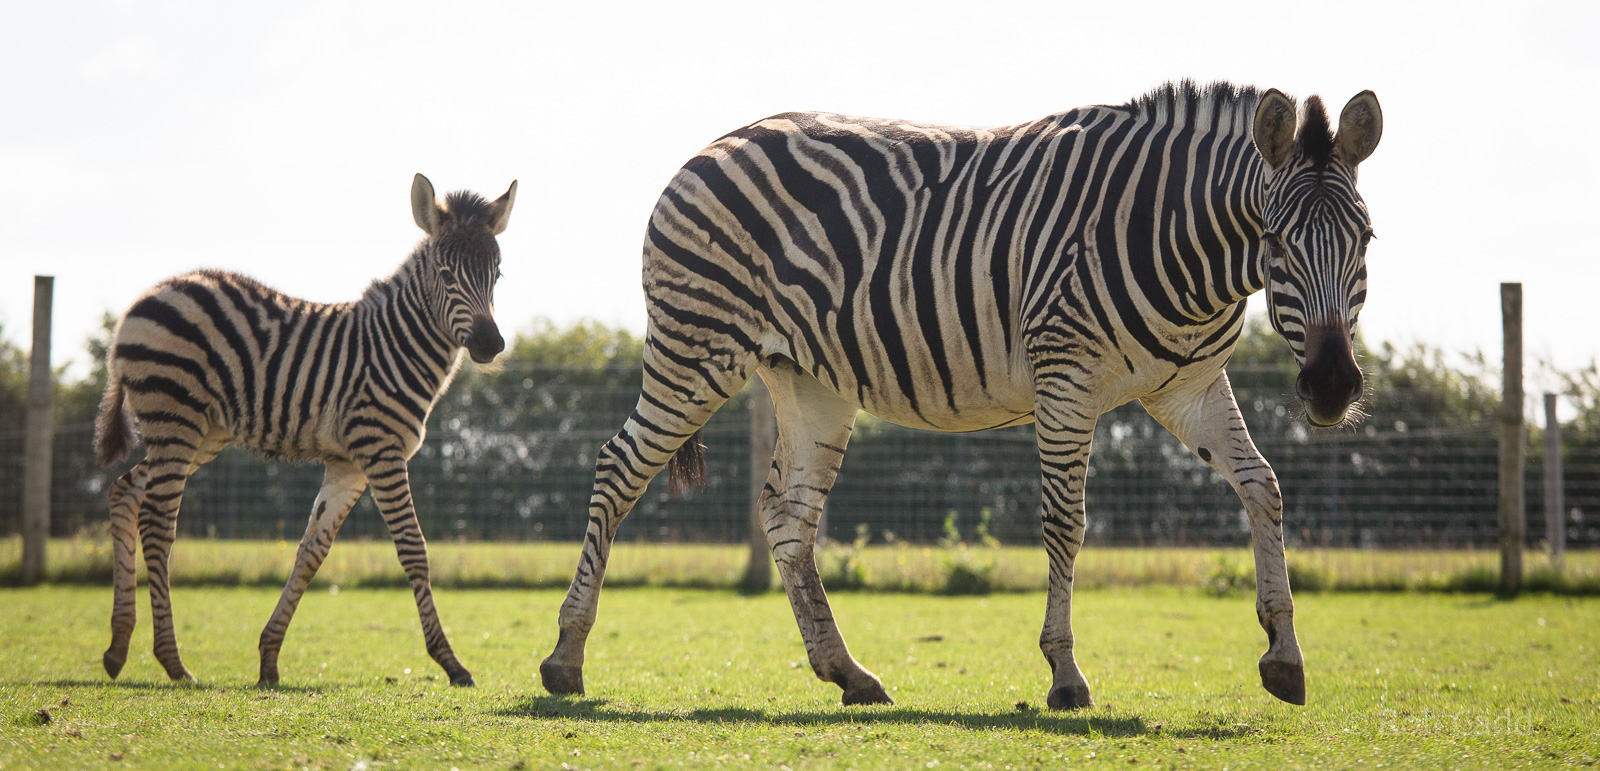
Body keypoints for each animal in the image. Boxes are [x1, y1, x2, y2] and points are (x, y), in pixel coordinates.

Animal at [94, 174, 516, 687]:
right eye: (445, 272)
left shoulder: (349, 465)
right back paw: (173, 661)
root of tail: (146, 297)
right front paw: (451, 662)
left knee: (124, 493)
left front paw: (269, 658)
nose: (490, 343)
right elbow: (414, 549)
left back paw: (117, 647)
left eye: (497, 274)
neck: (397, 346)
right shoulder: (380, 449)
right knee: (157, 522)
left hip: (196, 433)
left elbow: (311, 552)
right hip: (175, 417)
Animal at [539, 81, 1381, 708]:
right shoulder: (1066, 375)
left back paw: (848, 672)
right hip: (698, 347)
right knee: (619, 466)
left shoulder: (1189, 387)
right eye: (1276, 242)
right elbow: (1066, 523)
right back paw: (566, 656)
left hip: (807, 380)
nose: (1333, 386)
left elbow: (1263, 486)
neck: (1179, 240)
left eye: (1367, 241)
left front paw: (1284, 653)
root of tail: (713, 145)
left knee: (786, 514)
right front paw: (1065, 675)